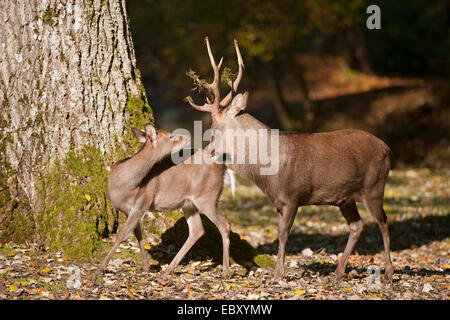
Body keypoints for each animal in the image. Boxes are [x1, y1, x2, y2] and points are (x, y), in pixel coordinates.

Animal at [98, 124, 232, 276]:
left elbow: (122, 234)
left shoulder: (142, 202)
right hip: (189, 203)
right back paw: (168, 269)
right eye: (170, 136)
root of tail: (223, 168)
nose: (187, 136)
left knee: (224, 225)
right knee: (197, 230)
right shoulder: (129, 209)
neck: (125, 184)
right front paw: (146, 267)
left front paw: (101, 267)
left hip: (207, 197)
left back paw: (225, 271)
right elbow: (137, 234)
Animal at [185, 38, 392, 282]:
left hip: (374, 185)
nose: (207, 153)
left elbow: (283, 234)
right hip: (346, 198)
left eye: (214, 128)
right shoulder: (279, 201)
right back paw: (338, 272)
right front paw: (278, 272)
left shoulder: (293, 195)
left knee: (383, 221)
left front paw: (278, 274)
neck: (269, 171)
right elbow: (280, 231)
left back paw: (389, 273)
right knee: (357, 226)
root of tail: (388, 149)